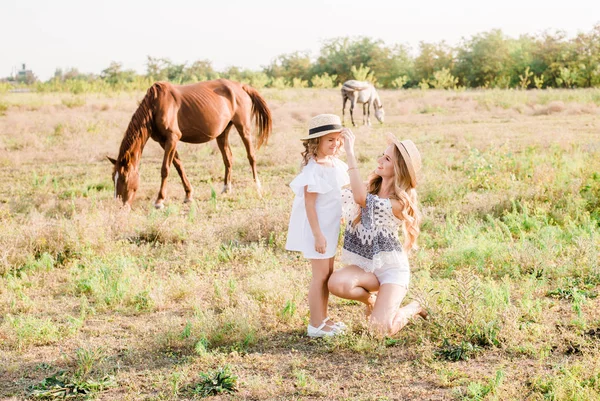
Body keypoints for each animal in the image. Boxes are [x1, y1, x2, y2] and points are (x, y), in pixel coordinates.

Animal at [109, 79, 274, 208]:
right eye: (113, 178)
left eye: (124, 178)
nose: (119, 205)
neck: (156, 105)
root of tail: (241, 86)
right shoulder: (164, 141)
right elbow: (178, 166)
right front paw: (188, 195)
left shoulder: (172, 138)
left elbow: (165, 169)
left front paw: (159, 200)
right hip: (222, 133)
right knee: (228, 158)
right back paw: (226, 188)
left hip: (243, 128)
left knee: (251, 156)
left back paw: (257, 186)